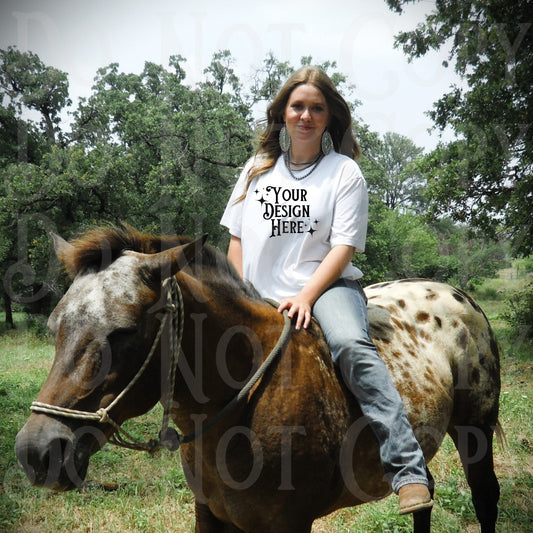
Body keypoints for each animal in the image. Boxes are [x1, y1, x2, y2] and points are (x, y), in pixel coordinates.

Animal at [14, 225, 500, 532]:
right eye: (54, 326)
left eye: (125, 332)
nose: (37, 451)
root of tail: (458, 296)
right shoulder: (210, 515)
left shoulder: (290, 523)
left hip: (474, 430)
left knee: (485, 497)